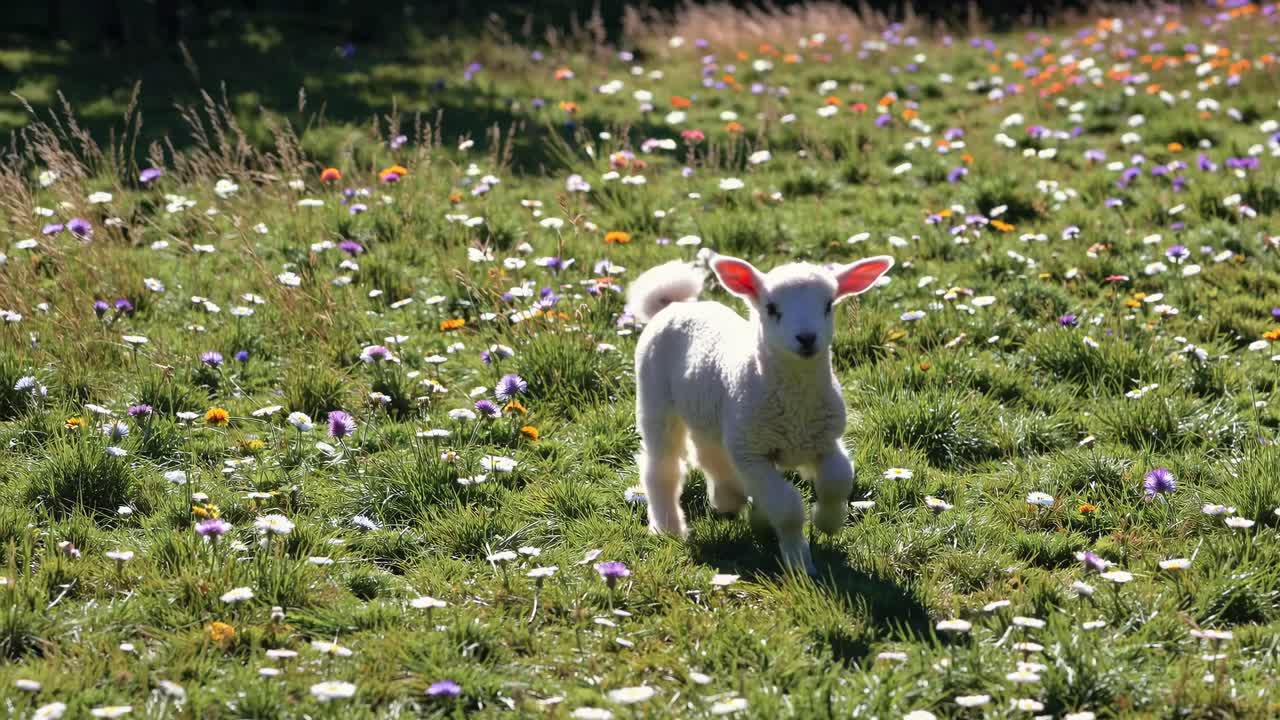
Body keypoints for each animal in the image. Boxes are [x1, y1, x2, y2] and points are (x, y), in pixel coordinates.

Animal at [626, 254, 894, 574]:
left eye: (828, 305)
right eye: (772, 308)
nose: (807, 338)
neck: (796, 405)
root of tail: (676, 304)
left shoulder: (825, 440)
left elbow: (838, 480)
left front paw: (827, 521)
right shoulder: (752, 455)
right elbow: (788, 507)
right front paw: (800, 563)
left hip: (716, 414)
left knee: (709, 452)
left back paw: (727, 498)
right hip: (656, 399)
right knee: (663, 467)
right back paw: (669, 527)